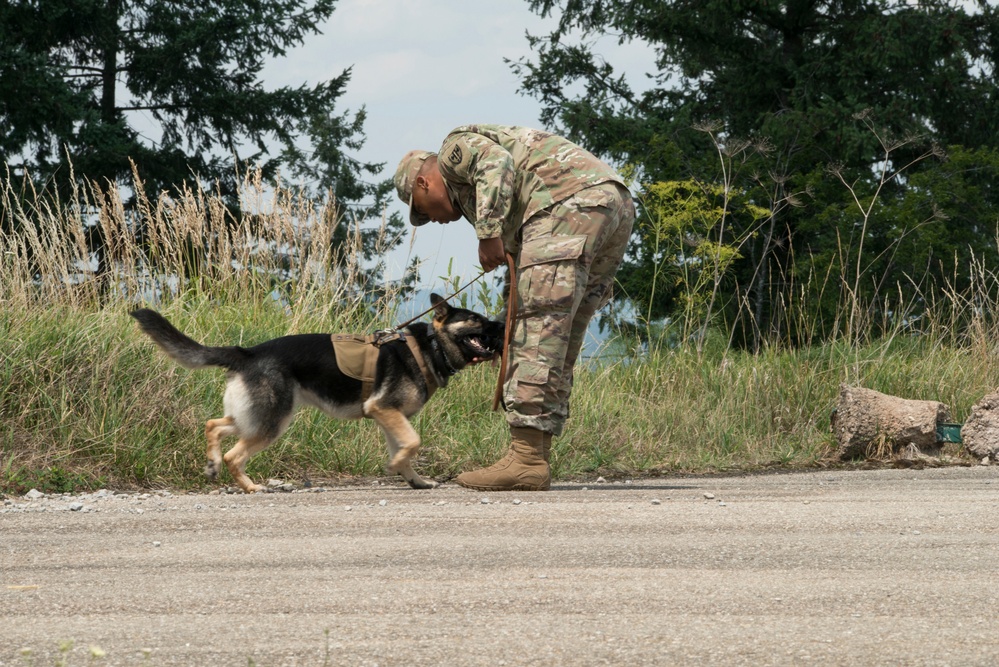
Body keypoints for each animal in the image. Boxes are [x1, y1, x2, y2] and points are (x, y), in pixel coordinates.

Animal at [131, 294, 508, 494]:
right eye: (476, 319)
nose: (505, 325)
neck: (429, 346)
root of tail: (248, 353)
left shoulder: (390, 418)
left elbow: (406, 450)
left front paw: (414, 479)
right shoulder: (384, 410)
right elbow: (412, 443)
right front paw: (396, 467)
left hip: (253, 416)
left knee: (214, 425)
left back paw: (212, 465)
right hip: (273, 422)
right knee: (234, 455)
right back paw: (250, 486)